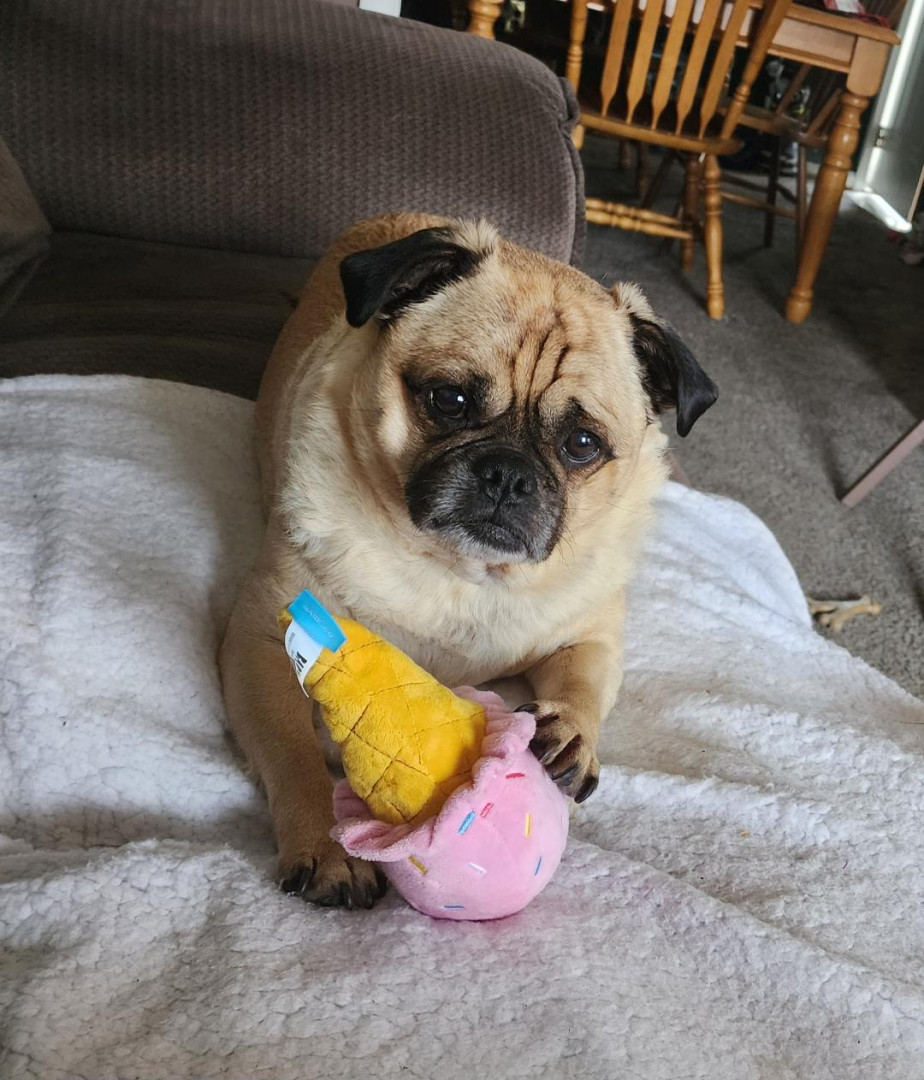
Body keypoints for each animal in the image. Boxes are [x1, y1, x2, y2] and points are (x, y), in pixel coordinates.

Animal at [219, 212, 717, 909]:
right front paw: (325, 845)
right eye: (449, 400)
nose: (507, 473)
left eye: (582, 444)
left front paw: (569, 733)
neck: (463, 572)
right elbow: (294, 753)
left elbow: (585, 683)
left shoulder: (591, 635)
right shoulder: (263, 640)